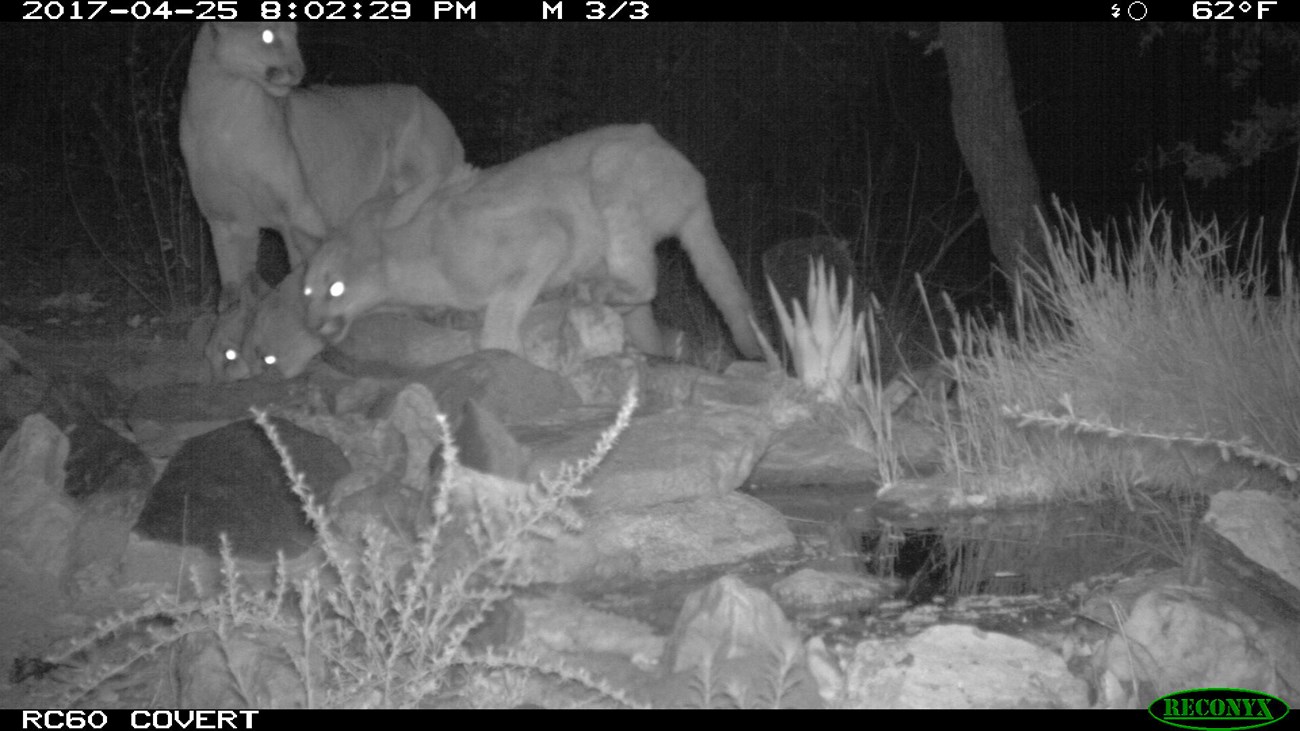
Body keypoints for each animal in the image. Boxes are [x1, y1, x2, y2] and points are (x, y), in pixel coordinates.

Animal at [180, 20, 470, 377]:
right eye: (268, 35)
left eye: (293, 33)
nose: (298, 70)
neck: (219, 110)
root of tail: (428, 100)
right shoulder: (225, 222)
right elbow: (234, 288)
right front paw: (229, 340)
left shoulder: (298, 213)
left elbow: (301, 274)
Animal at [301, 124, 759, 361]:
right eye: (306, 292)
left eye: (335, 287)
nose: (311, 324)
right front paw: (450, 316)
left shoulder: (548, 232)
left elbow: (504, 309)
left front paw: (499, 352)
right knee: (646, 318)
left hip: (610, 170)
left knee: (643, 284)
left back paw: (587, 291)